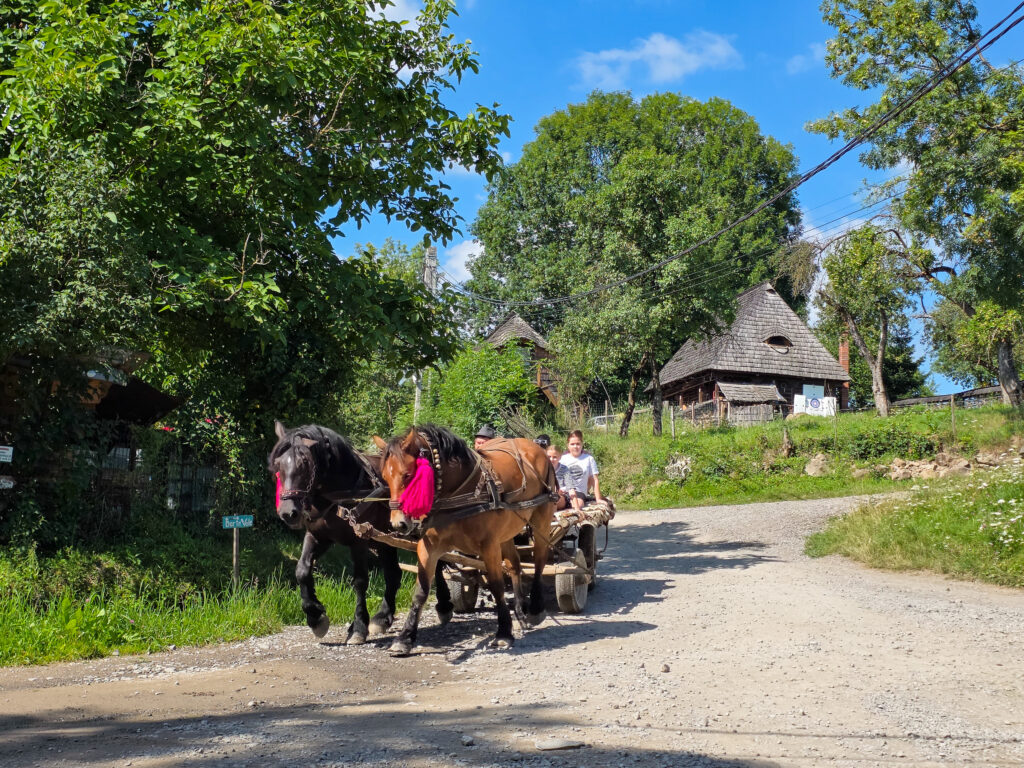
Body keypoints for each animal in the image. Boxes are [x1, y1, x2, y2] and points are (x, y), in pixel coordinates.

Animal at [269, 421, 453, 644]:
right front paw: (315, 617)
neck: (340, 494)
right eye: (278, 464)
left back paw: (444, 605)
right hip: (384, 541)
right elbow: (302, 570)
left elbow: (359, 581)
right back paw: (382, 617)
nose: (288, 513)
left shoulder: (358, 541)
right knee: (394, 573)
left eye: (304, 462)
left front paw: (358, 627)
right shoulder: (318, 536)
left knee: (437, 564)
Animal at [374, 424, 557, 656]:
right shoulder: (429, 547)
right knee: (515, 565)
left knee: (540, 561)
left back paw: (535, 609)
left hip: (541, 520)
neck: (457, 494)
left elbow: (497, 586)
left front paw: (503, 633)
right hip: (507, 533)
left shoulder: (489, 546)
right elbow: (421, 591)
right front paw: (405, 638)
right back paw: (520, 611)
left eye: (408, 475)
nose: (399, 524)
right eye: (385, 477)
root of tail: (533, 446)